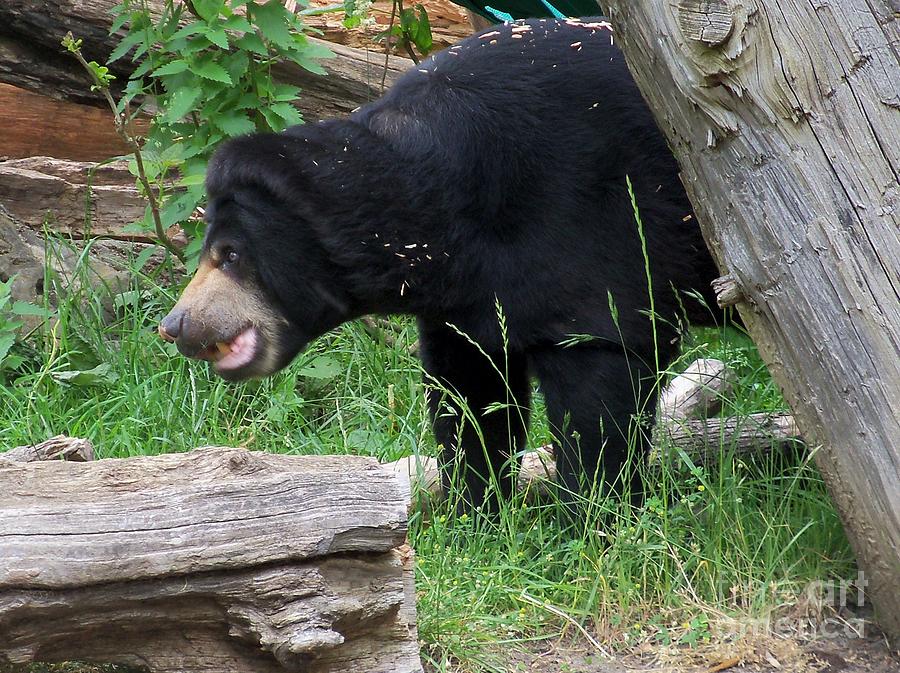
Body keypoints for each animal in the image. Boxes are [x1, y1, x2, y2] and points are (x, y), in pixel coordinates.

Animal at [162, 18, 720, 506]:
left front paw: (595, 517)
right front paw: (475, 513)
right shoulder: (468, 299)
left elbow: (600, 384)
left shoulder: (592, 225)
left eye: (230, 255)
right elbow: (472, 397)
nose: (176, 324)